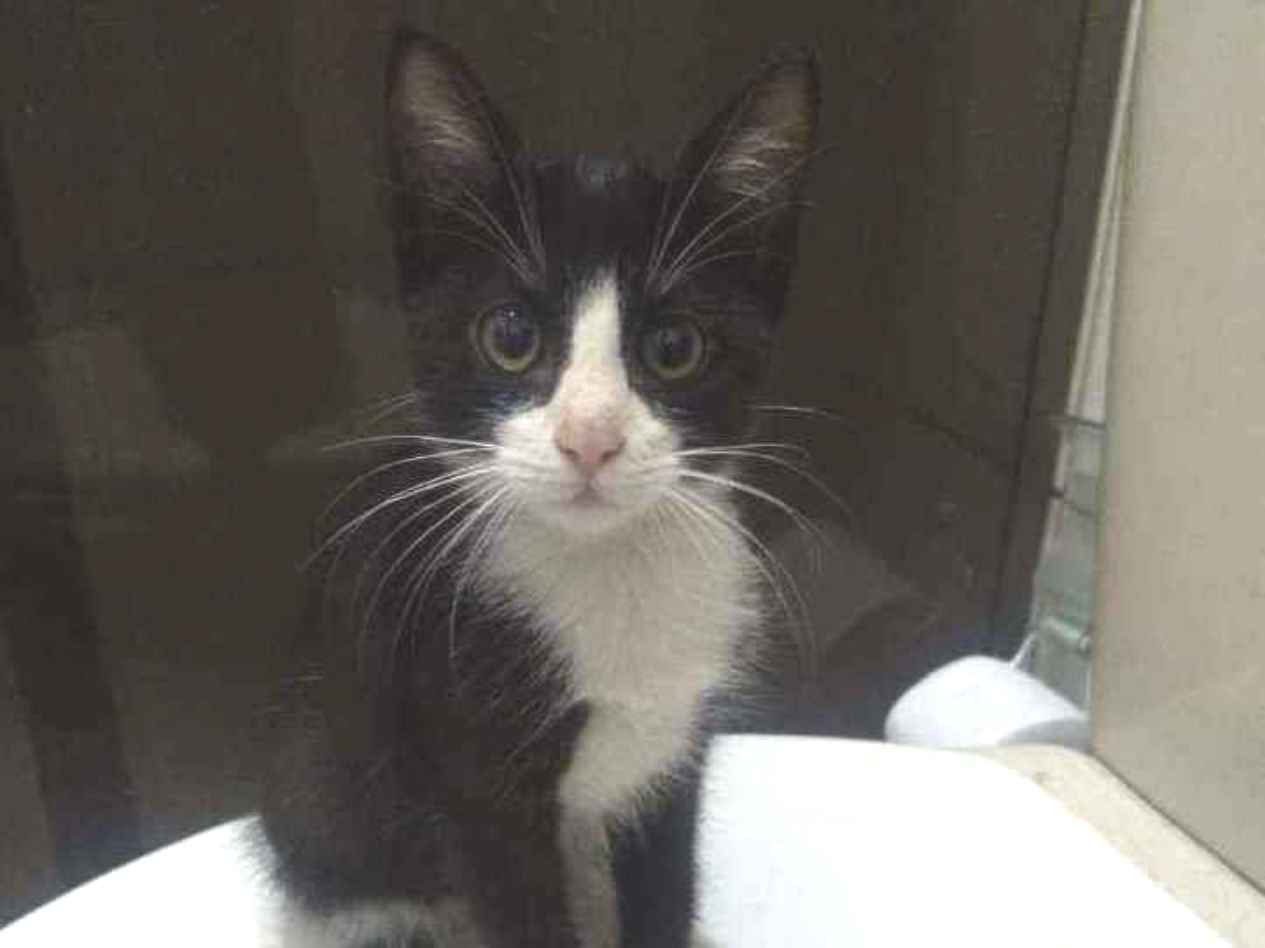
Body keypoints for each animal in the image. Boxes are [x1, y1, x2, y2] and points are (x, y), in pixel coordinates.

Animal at [259, 28, 819, 948]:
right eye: (511, 337)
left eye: (674, 349)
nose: (589, 438)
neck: (608, 573)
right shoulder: (475, 778)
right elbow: (518, 907)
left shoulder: (672, 749)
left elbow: (665, 890)